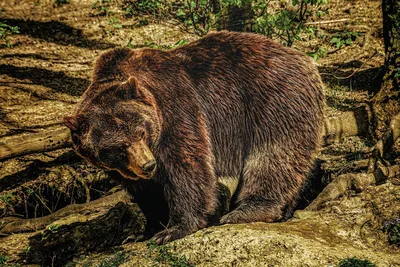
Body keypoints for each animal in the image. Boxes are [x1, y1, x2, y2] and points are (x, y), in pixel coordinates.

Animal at [63, 30, 324, 245]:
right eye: (117, 147)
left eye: (141, 132)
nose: (148, 165)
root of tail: (306, 60)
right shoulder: (123, 168)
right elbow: (145, 191)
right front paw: (143, 231)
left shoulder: (176, 108)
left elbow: (186, 167)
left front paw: (173, 229)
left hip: (274, 100)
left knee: (273, 156)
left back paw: (247, 210)